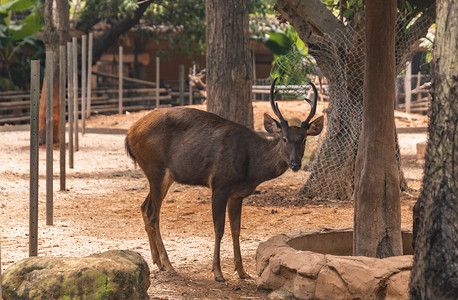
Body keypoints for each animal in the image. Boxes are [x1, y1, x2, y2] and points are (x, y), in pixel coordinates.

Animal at [125, 78, 324, 282]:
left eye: (304, 140)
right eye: (284, 138)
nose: (295, 163)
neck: (251, 168)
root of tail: (130, 133)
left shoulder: (237, 194)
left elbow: (236, 229)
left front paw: (242, 271)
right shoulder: (219, 184)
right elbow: (219, 228)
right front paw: (218, 272)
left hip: (164, 176)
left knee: (144, 206)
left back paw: (157, 261)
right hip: (155, 167)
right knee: (153, 213)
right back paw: (169, 265)